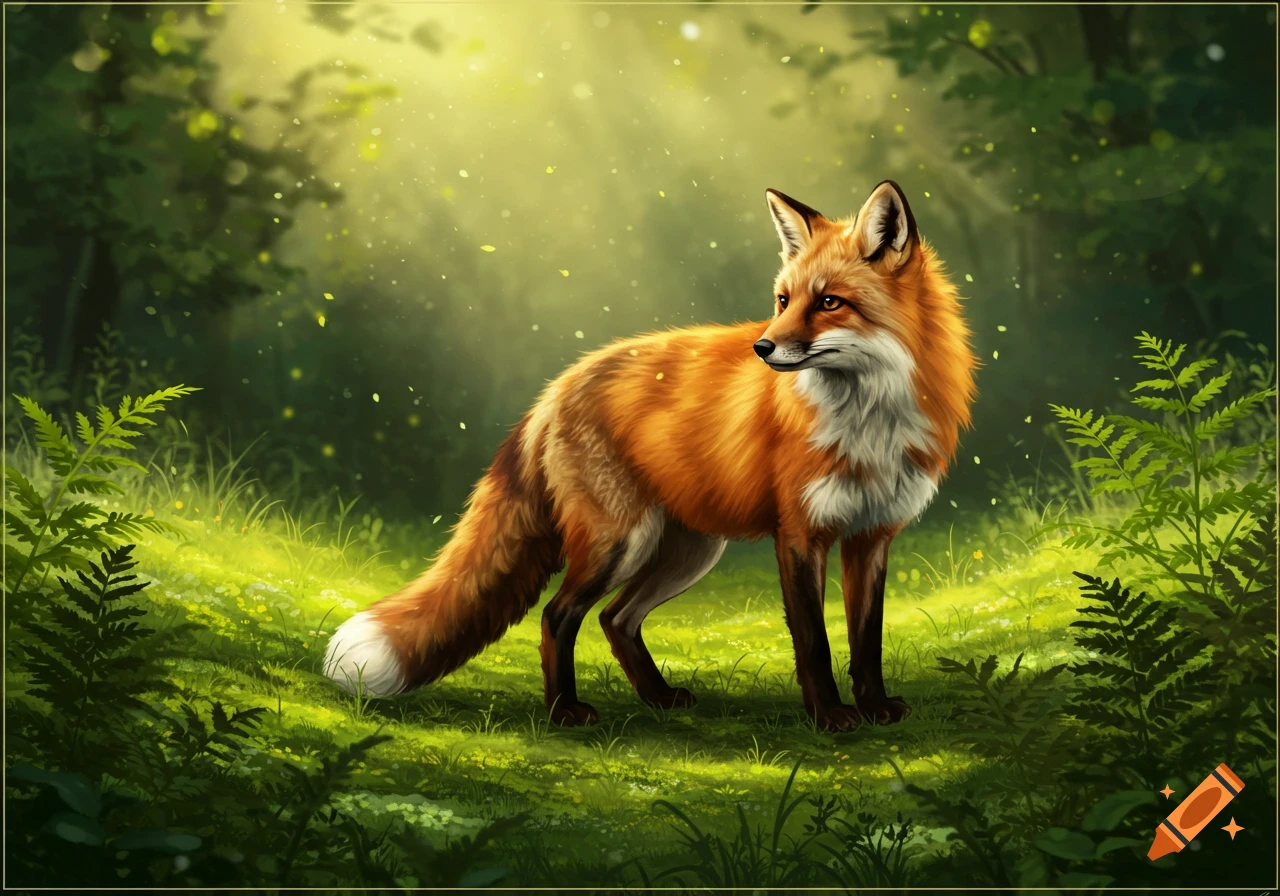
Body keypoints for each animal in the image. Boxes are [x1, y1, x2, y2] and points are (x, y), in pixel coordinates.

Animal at [324, 180, 977, 732]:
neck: (869, 420)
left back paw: (657, 698)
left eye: (830, 303)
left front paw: (874, 709)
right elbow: (814, 643)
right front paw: (829, 719)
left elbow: (867, 640)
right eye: (784, 299)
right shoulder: (799, 535)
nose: (763, 347)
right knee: (559, 615)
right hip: (621, 542)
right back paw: (564, 713)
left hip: (686, 551)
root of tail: (557, 385)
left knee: (616, 619)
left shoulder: (871, 535)